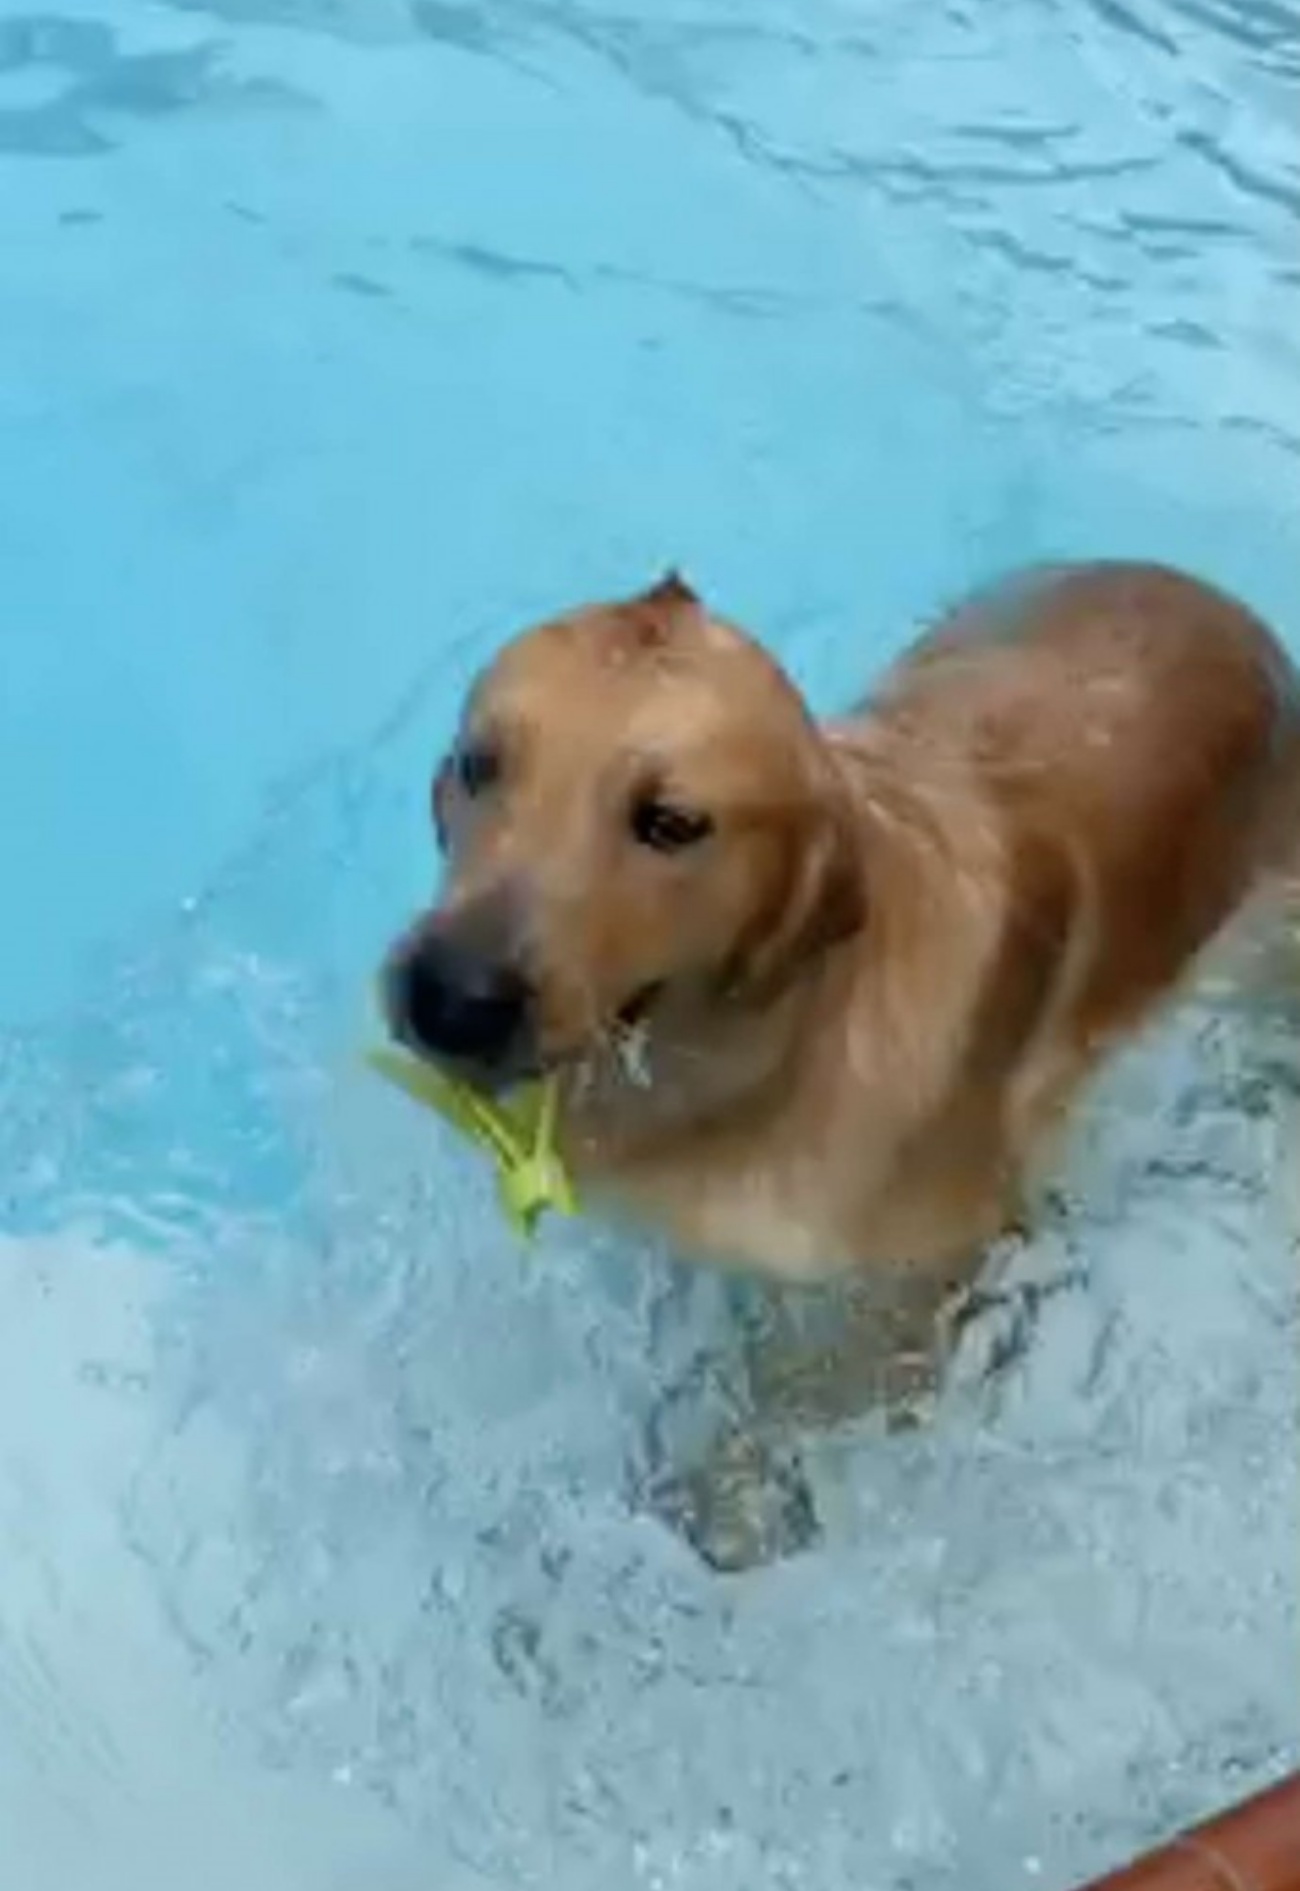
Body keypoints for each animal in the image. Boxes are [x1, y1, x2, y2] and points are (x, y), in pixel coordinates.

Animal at [382, 559, 1300, 1565]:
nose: (451, 997)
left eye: (671, 822)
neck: (759, 1055)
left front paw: (724, 1503)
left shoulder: (926, 1285)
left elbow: (800, 1402)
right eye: (481, 764)